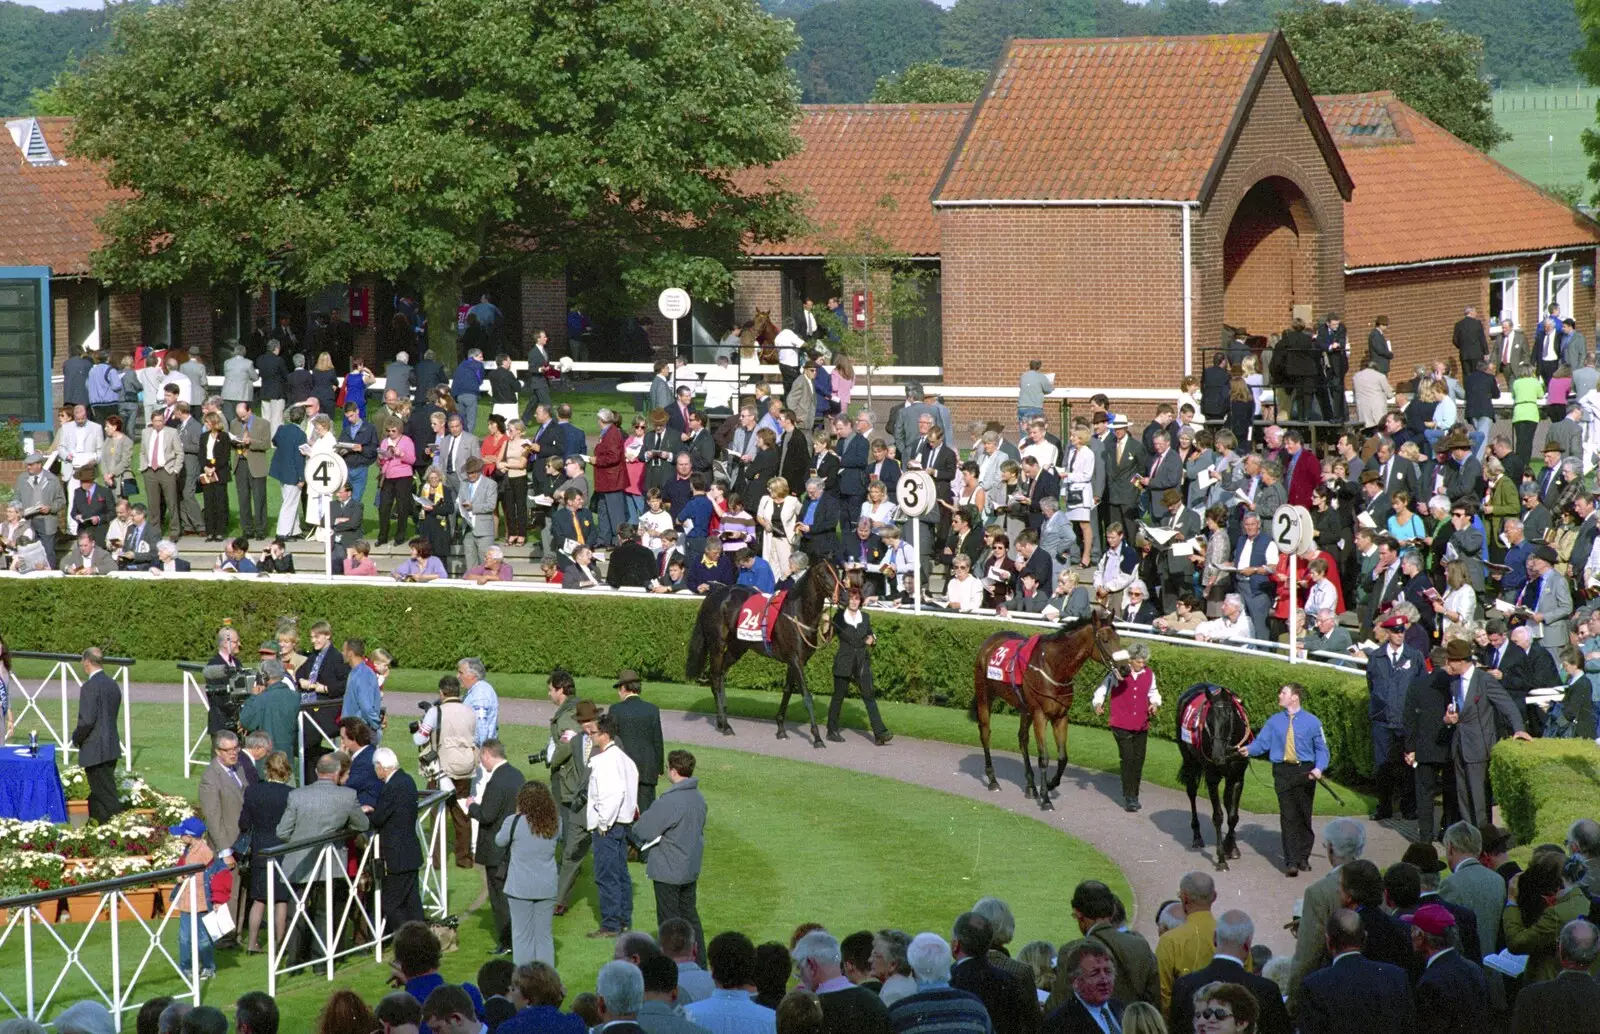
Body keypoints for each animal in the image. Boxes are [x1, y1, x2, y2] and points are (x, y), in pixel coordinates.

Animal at [684, 563, 851, 749]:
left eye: (839, 573)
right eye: (822, 574)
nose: (844, 597)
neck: (797, 613)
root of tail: (713, 594)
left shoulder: (796, 661)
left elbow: (787, 691)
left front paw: (781, 728)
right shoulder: (796, 660)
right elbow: (806, 696)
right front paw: (817, 738)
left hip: (737, 648)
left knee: (720, 675)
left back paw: (722, 720)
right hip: (717, 645)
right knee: (714, 678)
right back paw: (726, 725)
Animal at [966, 611, 1132, 813]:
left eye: (1119, 638)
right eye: (1105, 640)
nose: (1125, 668)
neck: (1054, 666)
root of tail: (990, 641)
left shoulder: (1060, 716)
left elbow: (1063, 757)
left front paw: (1051, 784)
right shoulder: (1040, 715)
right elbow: (1044, 757)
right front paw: (1046, 798)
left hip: (1024, 708)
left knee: (1022, 738)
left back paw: (1030, 786)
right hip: (985, 695)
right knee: (985, 733)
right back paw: (992, 780)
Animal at [1171, 688, 1254, 877]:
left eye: (1229, 718)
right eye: (1208, 720)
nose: (1217, 756)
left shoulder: (1237, 778)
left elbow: (1233, 816)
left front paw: (1231, 847)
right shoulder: (1212, 778)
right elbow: (1218, 816)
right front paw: (1221, 858)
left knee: (1227, 802)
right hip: (1189, 761)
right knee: (1191, 791)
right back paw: (1197, 836)